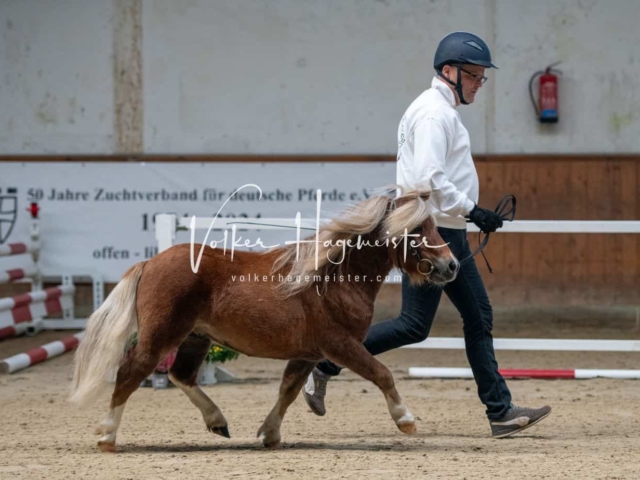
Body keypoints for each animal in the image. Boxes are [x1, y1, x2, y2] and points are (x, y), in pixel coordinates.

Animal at [70, 184, 460, 450]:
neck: (333, 277)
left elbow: (288, 390)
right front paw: (406, 420)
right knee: (130, 373)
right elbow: (382, 374)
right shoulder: (340, 345)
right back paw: (107, 436)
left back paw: (218, 422)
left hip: (195, 338)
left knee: (182, 375)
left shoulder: (307, 353)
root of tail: (150, 262)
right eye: (415, 230)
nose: (451, 266)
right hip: (161, 336)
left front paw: (269, 434)